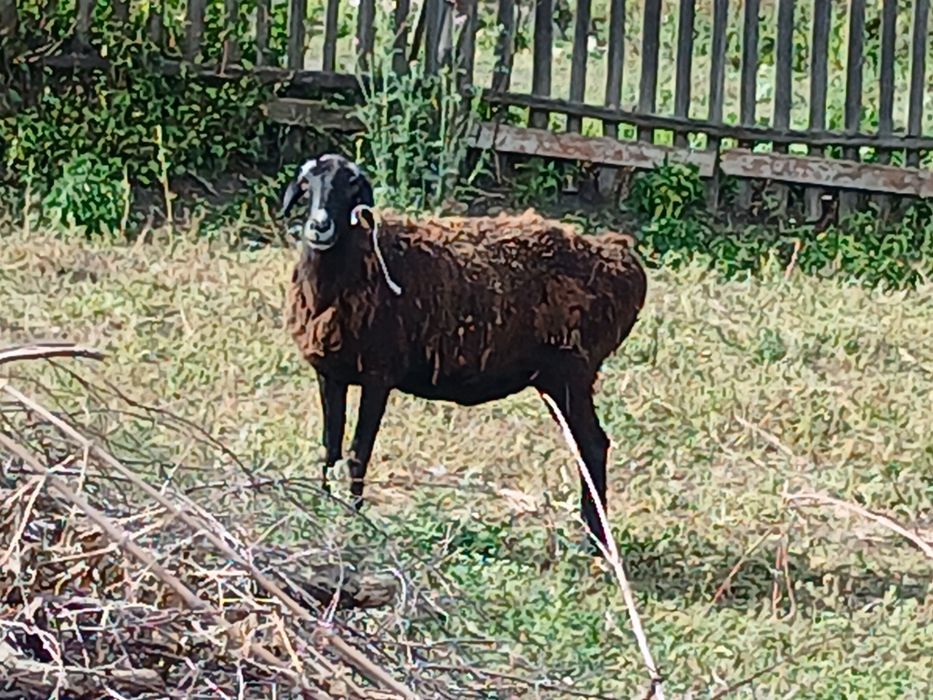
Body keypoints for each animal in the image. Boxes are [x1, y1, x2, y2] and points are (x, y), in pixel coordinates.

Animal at [280, 153, 648, 552]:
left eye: (350, 187)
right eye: (307, 186)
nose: (319, 227)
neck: (361, 265)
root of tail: (623, 261)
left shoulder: (379, 375)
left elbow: (358, 454)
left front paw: (355, 521)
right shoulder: (330, 373)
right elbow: (329, 449)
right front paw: (321, 511)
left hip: (571, 373)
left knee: (593, 446)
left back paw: (596, 542)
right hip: (561, 379)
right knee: (585, 447)